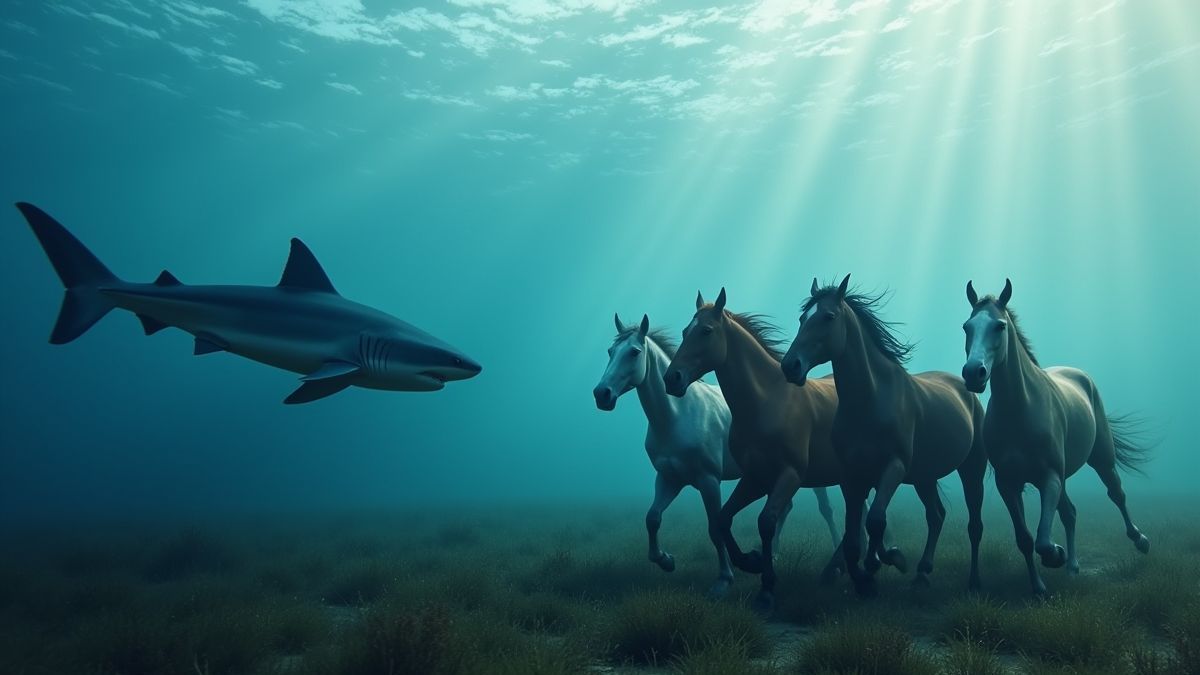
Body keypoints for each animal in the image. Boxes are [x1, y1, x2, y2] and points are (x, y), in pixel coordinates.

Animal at [593, 313, 842, 599]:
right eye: (610, 351)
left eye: (633, 352)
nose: (601, 394)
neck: (678, 416)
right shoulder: (669, 478)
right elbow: (652, 519)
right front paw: (666, 560)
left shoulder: (708, 480)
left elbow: (714, 527)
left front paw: (724, 579)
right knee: (785, 509)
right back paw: (771, 555)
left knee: (826, 510)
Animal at [663, 289, 899, 614]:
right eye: (686, 331)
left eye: (706, 331)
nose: (672, 378)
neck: (768, 401)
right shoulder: (755, 478)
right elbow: (723, 519)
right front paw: (750, 561)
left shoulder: (789, 475)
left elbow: (766, 522)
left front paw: (766, 588)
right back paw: (836, 570)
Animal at [781, 275, 988, 597]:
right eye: (802, 318)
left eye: (828, 317)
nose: (791, 366)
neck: (872, 400)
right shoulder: (851, 476)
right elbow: (853, 534)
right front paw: (864, 578)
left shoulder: (894, 466)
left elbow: (876, 520)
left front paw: (888, 559)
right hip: (924, 476)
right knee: (936, 516)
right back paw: (922, 573)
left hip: (971, 469)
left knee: (973, 524)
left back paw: (973, 581)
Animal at [962, 279, 1151, 596]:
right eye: (967, 327)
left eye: (999, 326)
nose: (973, 373)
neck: (1020, 411)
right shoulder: (1008, 484)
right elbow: (1026, 539)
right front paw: (1039, 587)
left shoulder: (1049, 477)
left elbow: (1042, 539)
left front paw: (1055, 555)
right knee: (1070, 513)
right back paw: (1072, 568)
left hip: (1101, 460)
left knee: (1116, 494)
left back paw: (1140, 540)